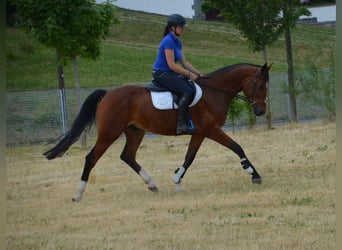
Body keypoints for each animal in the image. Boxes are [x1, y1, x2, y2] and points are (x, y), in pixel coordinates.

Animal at [43, 62, 272, 201]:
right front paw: (254, 175)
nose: (261, 111)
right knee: (91, 158)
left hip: (135, 132)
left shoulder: (200, 133)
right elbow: (237, 147)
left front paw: (177, 179)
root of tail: (108, 94)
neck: (214, 92)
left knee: (127, 156)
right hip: (109, 132)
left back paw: (152, 184)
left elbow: (189, 157)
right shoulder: (212, 130)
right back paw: (78, 194)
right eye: (261, 86)